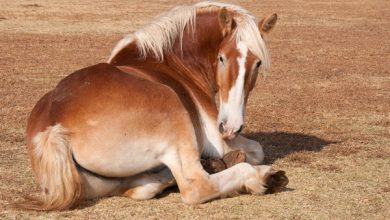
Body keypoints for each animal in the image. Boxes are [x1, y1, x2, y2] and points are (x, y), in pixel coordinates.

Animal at [17, 1, 286, 211]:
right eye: (221, 58)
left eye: (257, 63)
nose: (231, 126)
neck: (171, 62)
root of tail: (54, 128)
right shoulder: (217, 141)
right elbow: (256, 150)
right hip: (174, 115)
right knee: (197, 185)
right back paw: (262, 177)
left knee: (138, 187)